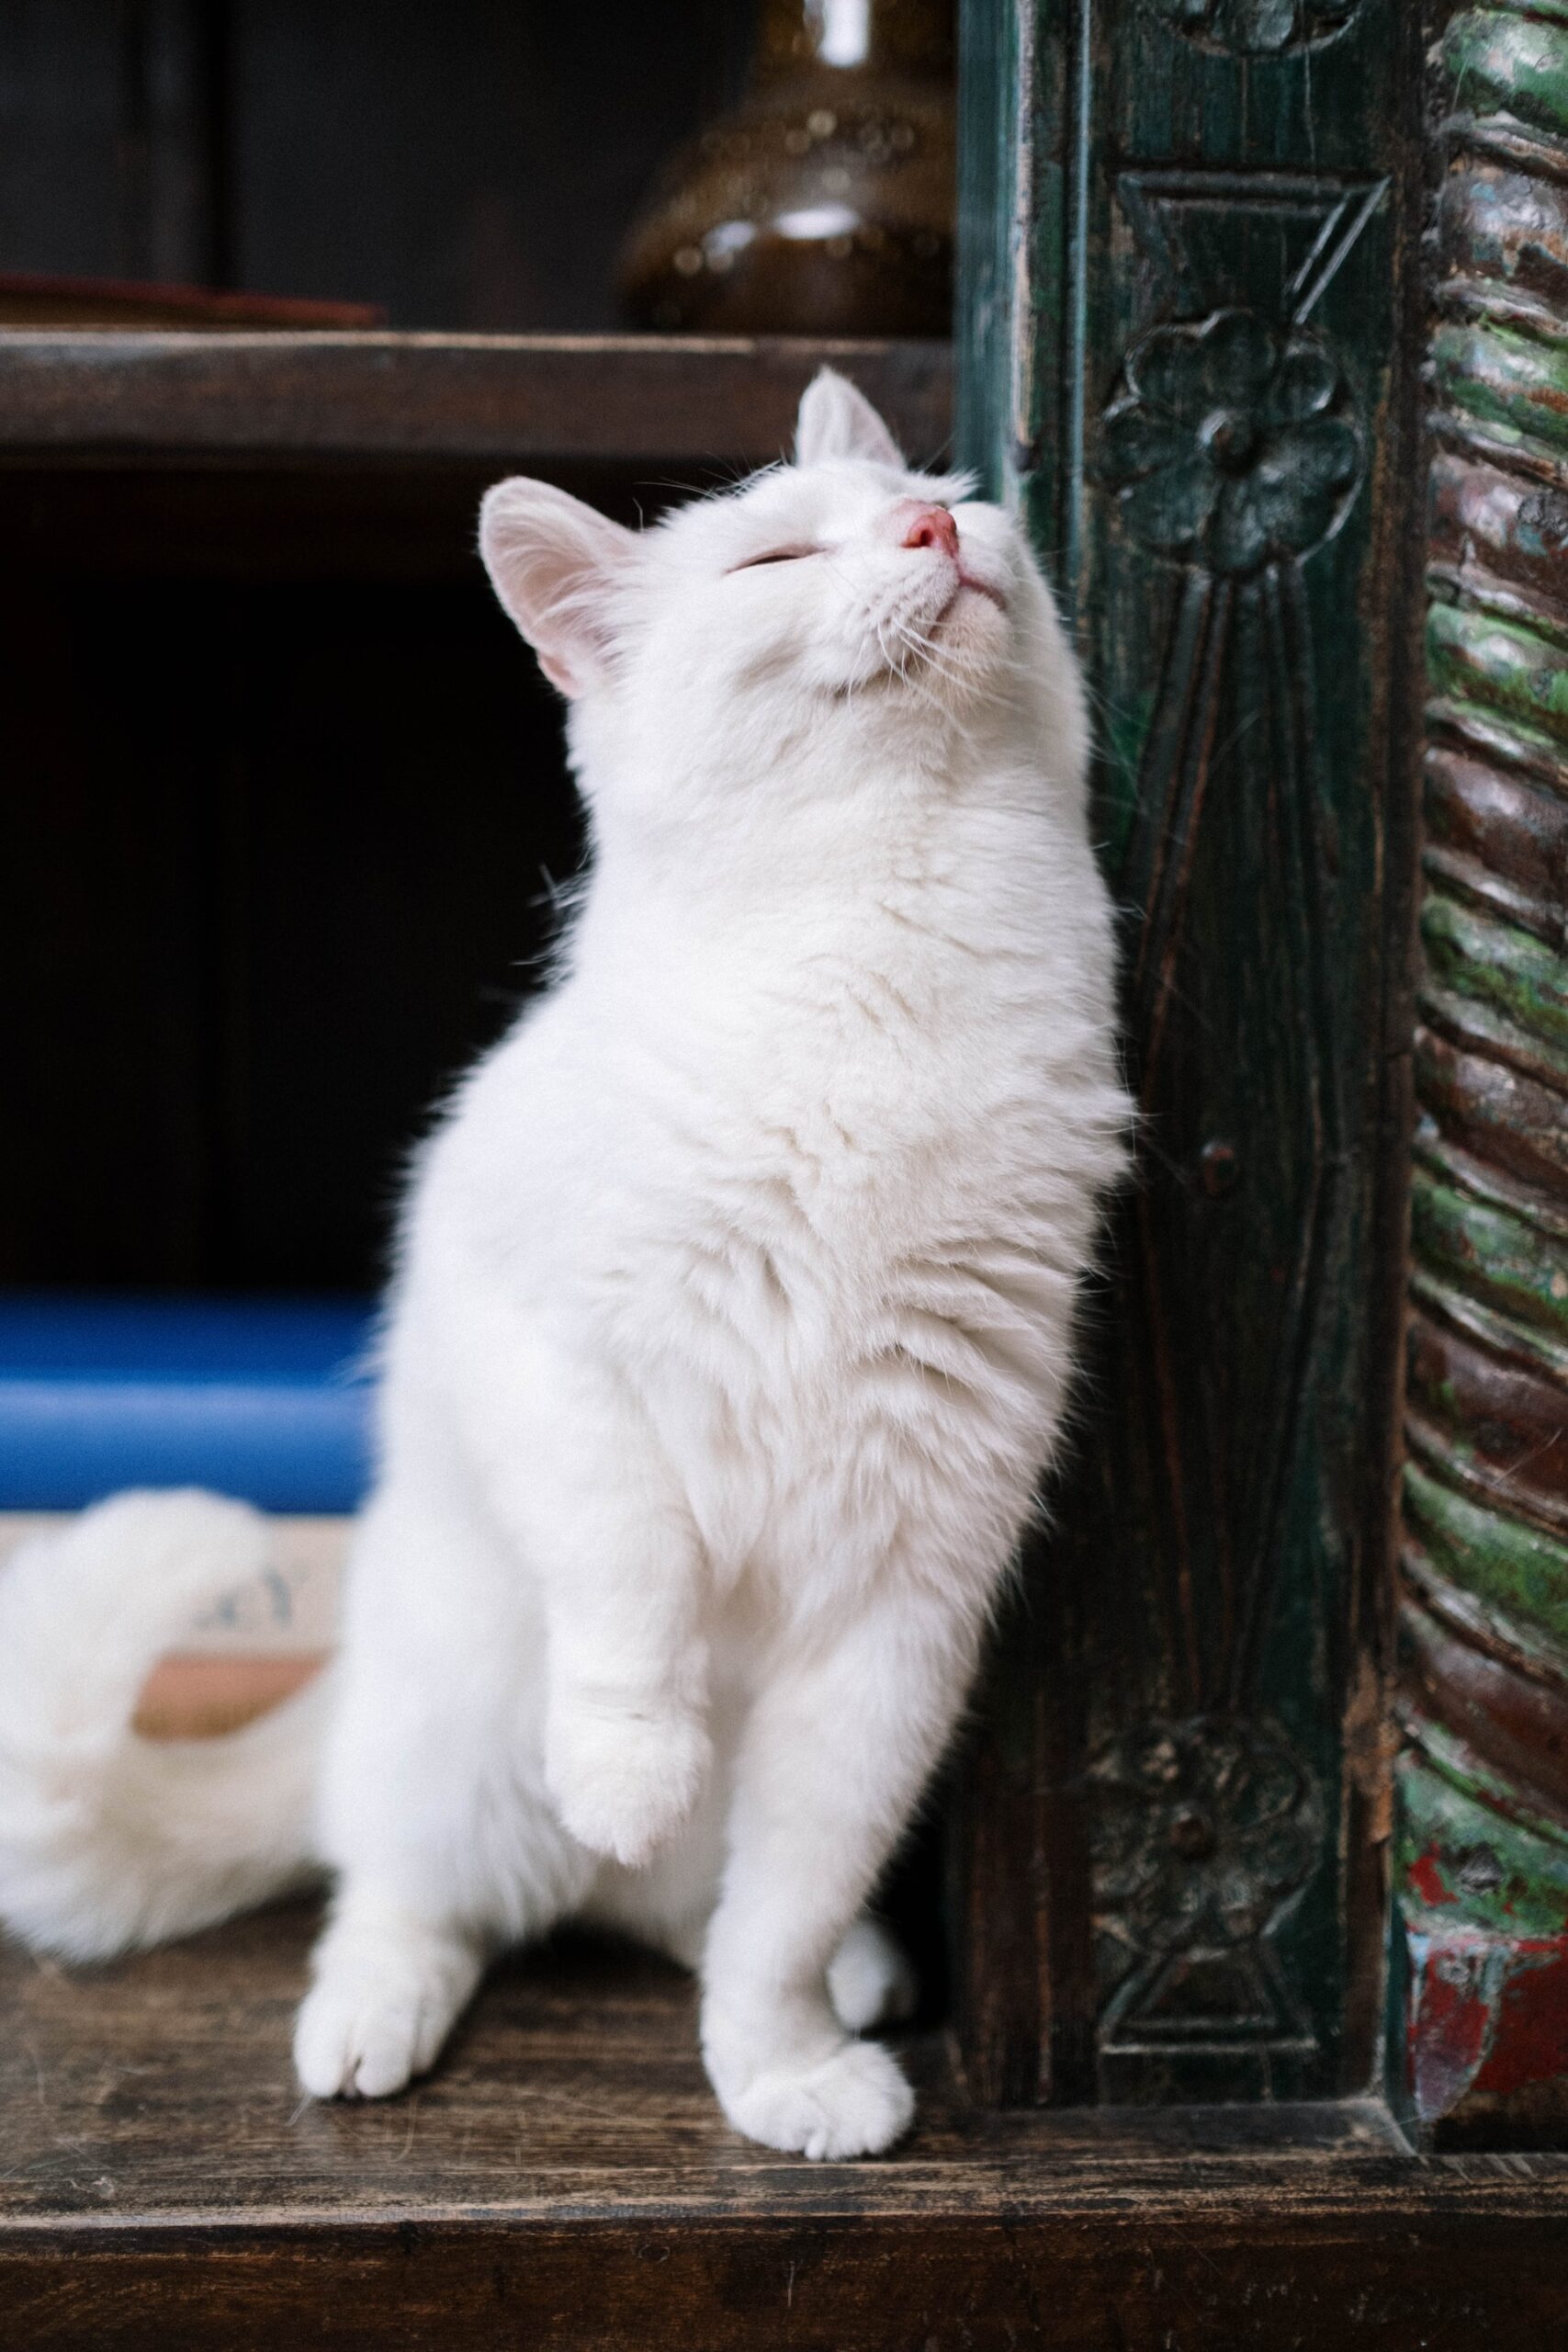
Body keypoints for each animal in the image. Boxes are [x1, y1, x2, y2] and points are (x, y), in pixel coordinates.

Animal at [0, 376, 1128, 2154]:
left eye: (950, 501)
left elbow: (782, 1912)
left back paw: (839, 1977)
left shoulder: (895, 1625)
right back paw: (375, 2021)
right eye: (774, 559)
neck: (891, 973)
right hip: (448, 1741)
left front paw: (786, 2079)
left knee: (692, 1914)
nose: (932, 529)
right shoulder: (542, 1354)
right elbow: (632, 1567)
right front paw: (629, 1765)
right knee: (402, 1895)